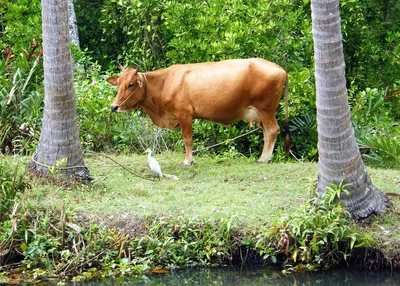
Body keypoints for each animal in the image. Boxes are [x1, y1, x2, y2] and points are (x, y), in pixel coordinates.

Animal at [106, 58, 288, 165]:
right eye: (118, 83)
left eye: (130, 84)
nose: (114, 107)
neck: (164, 83)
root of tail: (279, 68)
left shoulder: (184, 114)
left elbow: (187, 140)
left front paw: (188, 161)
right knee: (267, 133)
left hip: (266, 109)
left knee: (272, 131)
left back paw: (264, 159)